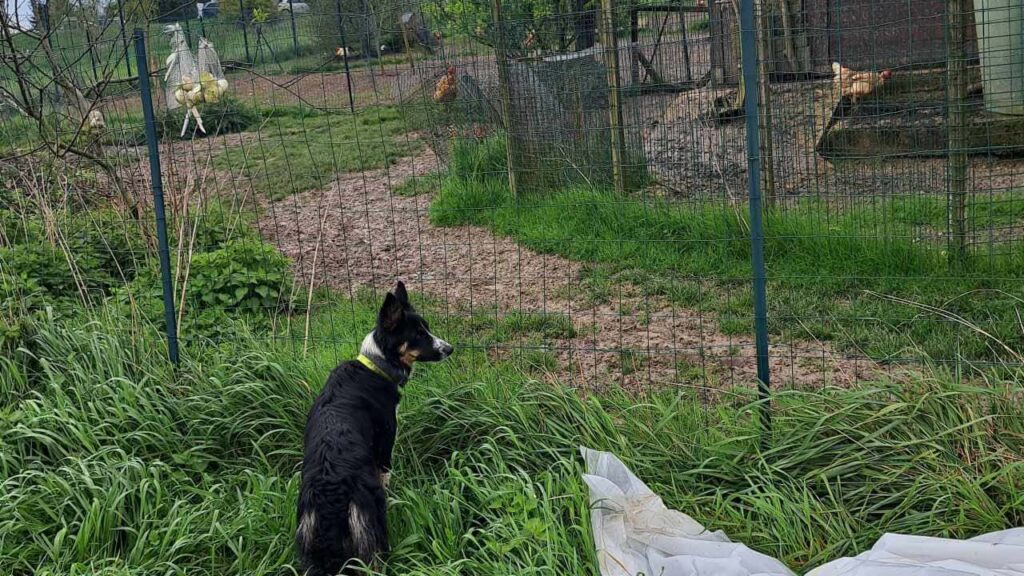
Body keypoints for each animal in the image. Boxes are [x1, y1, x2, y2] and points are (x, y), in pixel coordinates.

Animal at [299, 280, 454, 569]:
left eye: (426, 327)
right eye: (418, 333)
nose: (449, 349)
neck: (376, 366)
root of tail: (331, 489)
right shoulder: (384, 449)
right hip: (369, 532)